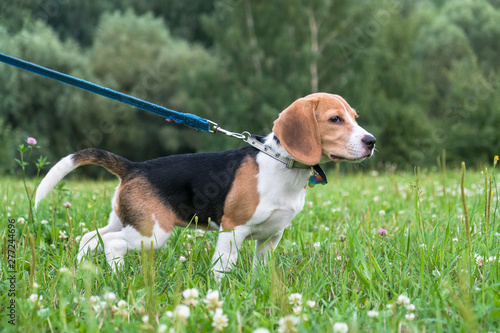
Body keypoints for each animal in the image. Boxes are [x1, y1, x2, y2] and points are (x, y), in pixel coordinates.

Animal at [35, 92, 376, 276]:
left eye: (355, 117)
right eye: (335, 119)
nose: (371, 141)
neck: (283, 165)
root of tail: (133, 167)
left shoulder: (272, 237)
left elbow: (261, 267)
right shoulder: (233, 230)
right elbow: (221, 269)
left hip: (126, 219)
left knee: (90, 238)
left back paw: (85, 271)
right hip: (153, 232)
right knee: (113, 244)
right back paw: (118, 276)